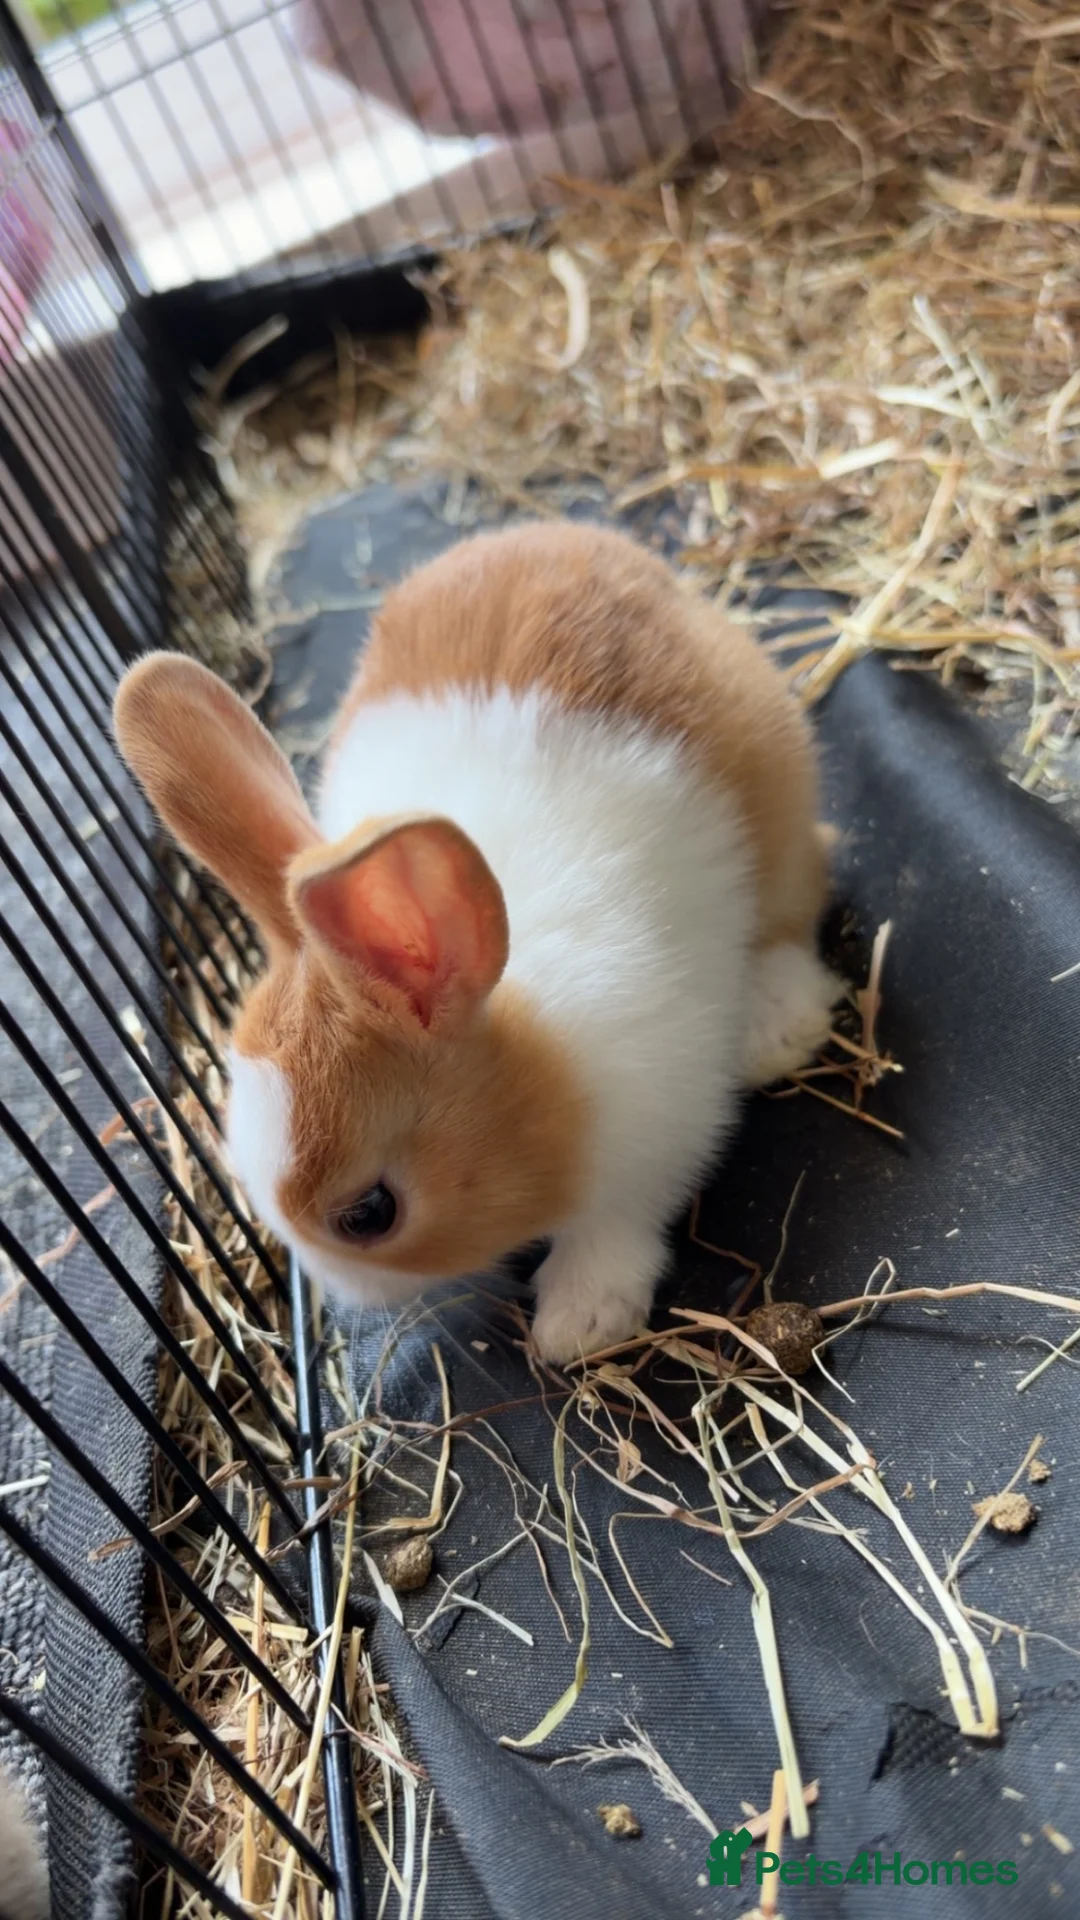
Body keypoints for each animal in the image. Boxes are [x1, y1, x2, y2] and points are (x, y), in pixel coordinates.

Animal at [113, 522, 839, 1363]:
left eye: (369, 1214)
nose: (348, 1299)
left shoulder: (657, 1132)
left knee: (792, 910)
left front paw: (578, 1324)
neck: (534, 1062)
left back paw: (778, 1031)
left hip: (779, 801)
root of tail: (580, 539)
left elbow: (614, 1227)